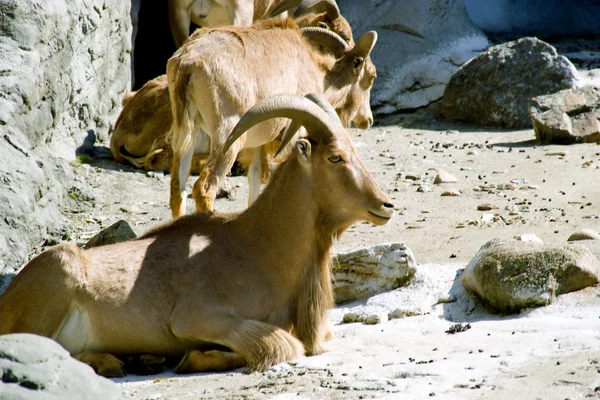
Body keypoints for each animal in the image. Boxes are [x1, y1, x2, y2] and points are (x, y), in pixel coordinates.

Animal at [0, 94, 394, 378]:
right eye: (335, 157)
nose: (386, 204)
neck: (262, 247)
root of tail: (8, 298)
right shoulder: (196, 317)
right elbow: (281, 345)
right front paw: (192, 359)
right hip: (57, 276)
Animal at [166, 18, 378, 219]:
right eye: (372, 76)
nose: (368, 120)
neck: (314, 71)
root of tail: (187, 63)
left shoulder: (257, 144)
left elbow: (255, 179)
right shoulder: (294, 133)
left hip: (189, 135)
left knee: (178, 187)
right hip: (227, 138)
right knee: (204, 189)